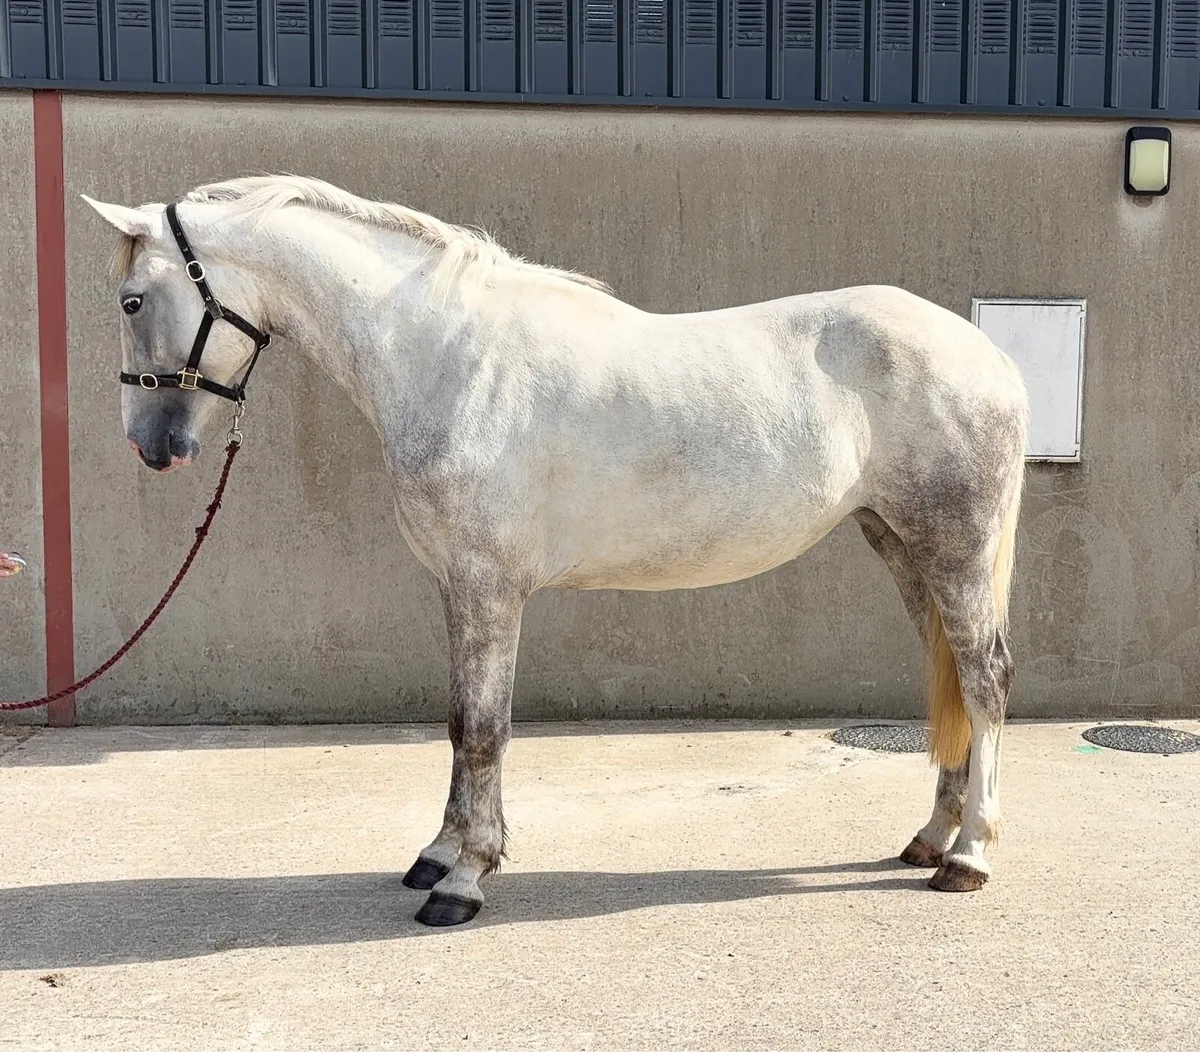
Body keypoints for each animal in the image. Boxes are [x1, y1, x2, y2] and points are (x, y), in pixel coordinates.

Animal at [82, 176, 1028, 927]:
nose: (151, 444)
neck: (450, 359)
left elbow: (484, 731)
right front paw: (438, 855)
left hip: (953, 546)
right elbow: (457, 721)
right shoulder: (458, 590)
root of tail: (988, 355)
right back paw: (931, 837)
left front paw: (463, 881)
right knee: (948, 675)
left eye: (131, 301)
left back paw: (969, 857)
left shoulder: (490, 588)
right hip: (901, 545)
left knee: (983, 682)